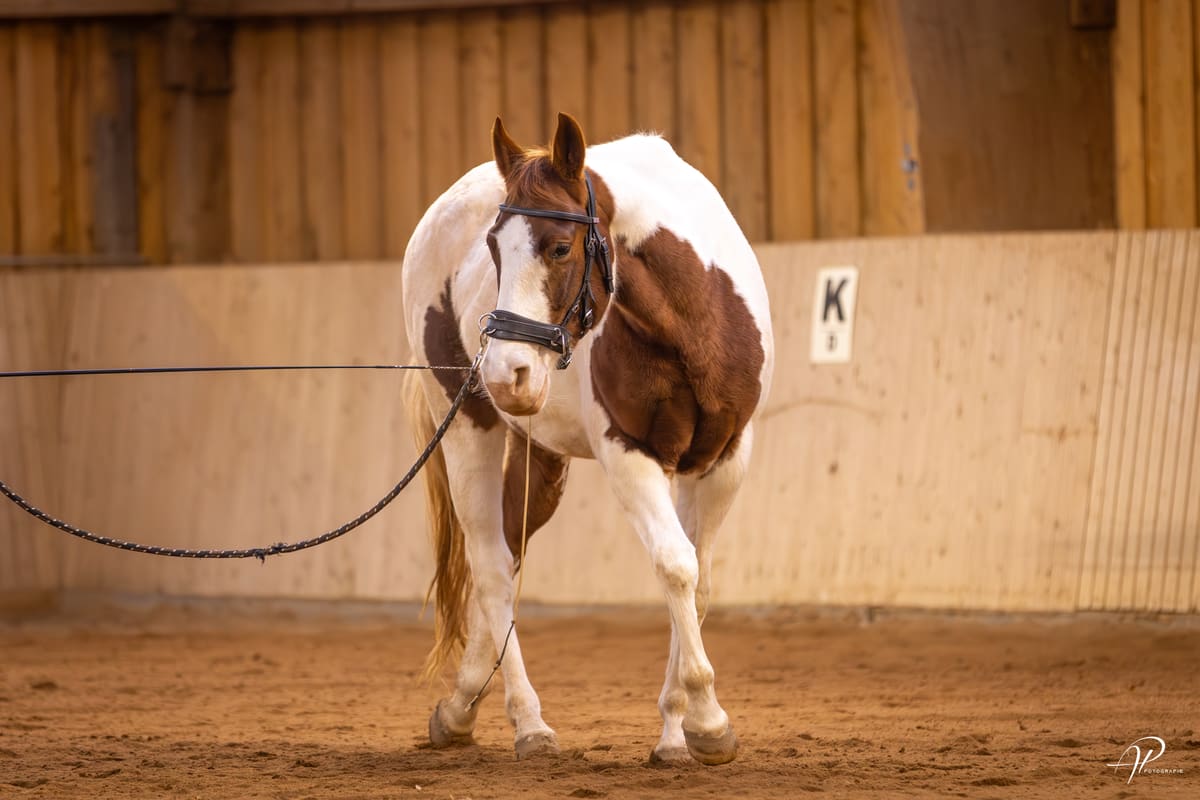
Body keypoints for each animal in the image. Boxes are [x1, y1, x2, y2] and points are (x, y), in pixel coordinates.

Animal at [401, 113, 774, 766]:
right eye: (494, 249)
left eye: (559, 247)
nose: (506, 372)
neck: (691, 323)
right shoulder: (630, 455)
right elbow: (676, 566)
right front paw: (708, 722)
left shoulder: (725, 458)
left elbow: (696, 580)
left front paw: (675, 732)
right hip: (467, 426)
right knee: (491, 566)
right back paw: (528, 724)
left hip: (540, 459)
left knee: (507, 555)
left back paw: (462, 706)